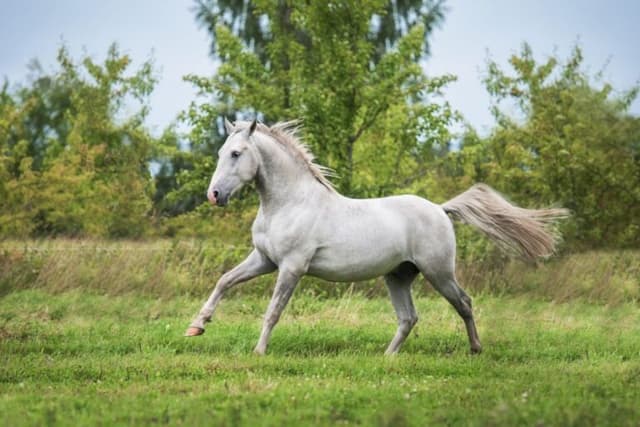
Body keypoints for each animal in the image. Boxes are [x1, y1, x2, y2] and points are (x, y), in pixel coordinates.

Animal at [184, 119, 568, 355]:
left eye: (236, 153)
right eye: (220, 153)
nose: (214, 195)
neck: (290, 202)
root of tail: (440, 209)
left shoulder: (291, 267)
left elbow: (273, 311)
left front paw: (259, 351)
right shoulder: (263, 260)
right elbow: (224, 281)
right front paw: (196, 327)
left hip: (438, 272)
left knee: (464, 303)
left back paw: (475, 349)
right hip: (398, 276)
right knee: (409, 317)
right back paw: (387, 356)